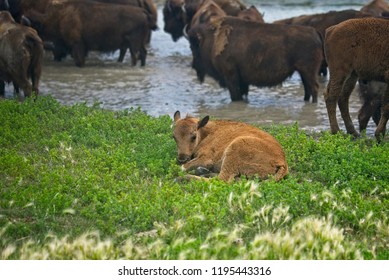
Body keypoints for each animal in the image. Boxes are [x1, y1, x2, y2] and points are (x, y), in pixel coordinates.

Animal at [24, 0, 156, 67]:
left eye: (35, 26)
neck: (58, 16)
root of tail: (143, 12)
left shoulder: (77, 45)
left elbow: (79, 61)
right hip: (139, 43)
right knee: (143, 53)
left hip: (133, 43)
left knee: (134, 56)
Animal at [188, 16, 322, 101]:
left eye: (194, 47)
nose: (193, 65)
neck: (213, 39)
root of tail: (314, 31)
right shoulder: (241, 81)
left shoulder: (231, 76)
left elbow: (235, 96)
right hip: (303, 72)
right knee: (308, 89)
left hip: (308, 71)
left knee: (314, 88)